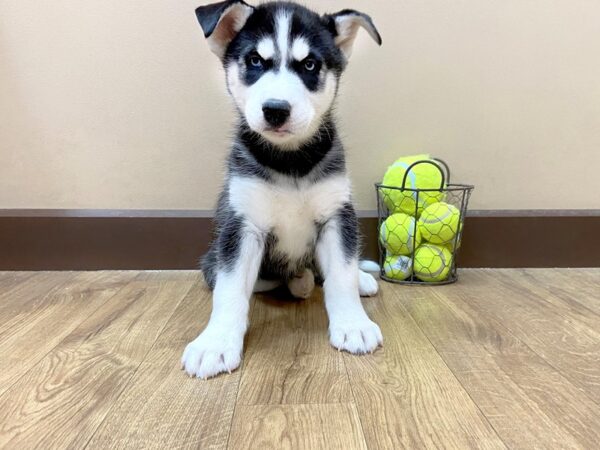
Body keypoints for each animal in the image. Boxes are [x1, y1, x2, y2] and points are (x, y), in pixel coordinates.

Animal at [180, 0, 384, 380]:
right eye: (255, 61)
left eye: (310, 65)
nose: (276, 110)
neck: (291, 161)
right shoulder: (241, 224)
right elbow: (231, 289)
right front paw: (215, 343)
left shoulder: (337, 215)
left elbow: (341, 275)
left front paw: (353, 324)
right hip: (211, 259)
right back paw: (298, 280)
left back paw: (355, 278)